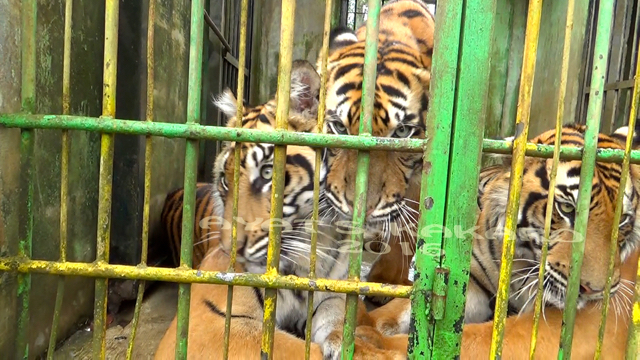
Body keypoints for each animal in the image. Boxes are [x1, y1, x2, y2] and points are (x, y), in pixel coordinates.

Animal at [153, 59, 408, 360]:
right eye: (226, 180)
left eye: (267, 173)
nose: (231, 249)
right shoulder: (208, 319)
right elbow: (294, 349)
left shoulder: (334, 295)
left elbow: (339, 327)